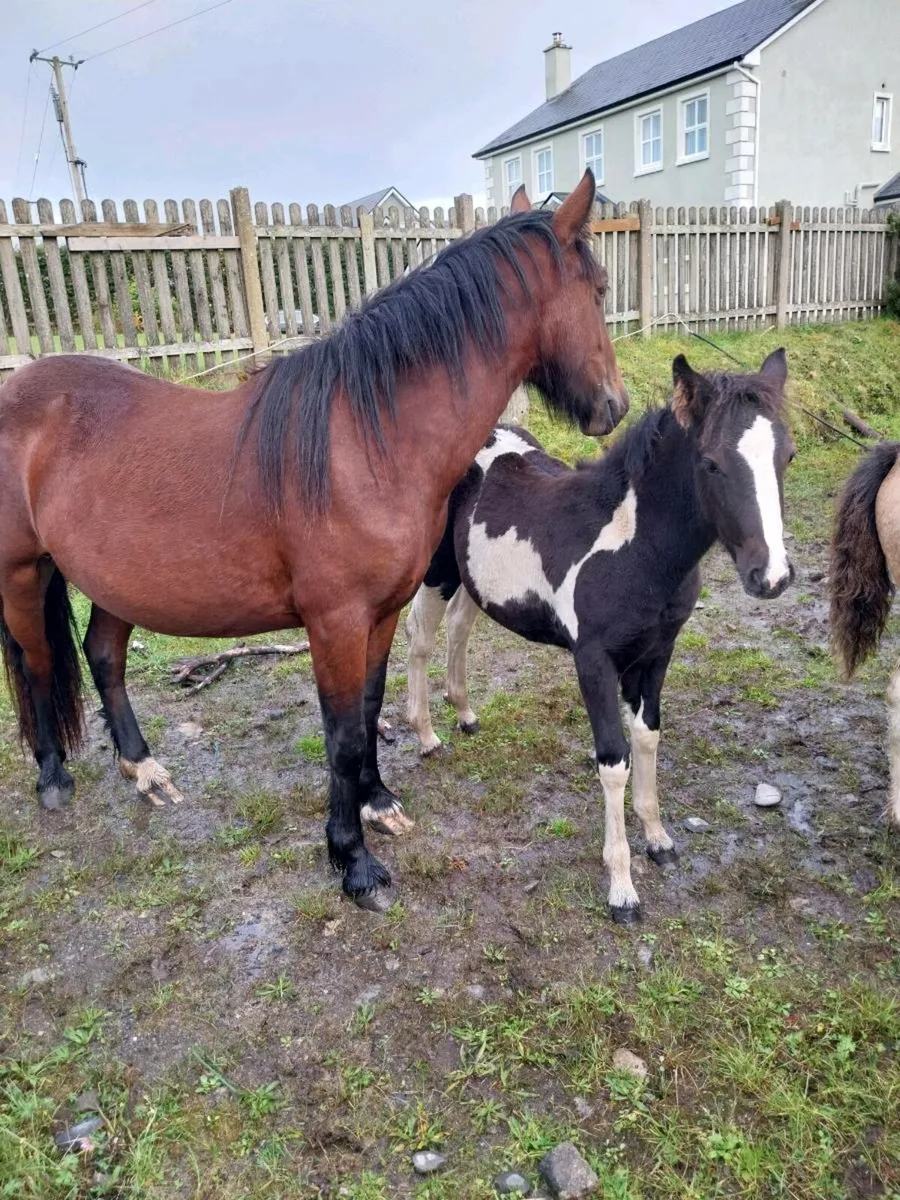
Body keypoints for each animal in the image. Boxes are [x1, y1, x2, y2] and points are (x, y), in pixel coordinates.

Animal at [0, 172, 629, 911]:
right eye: (599, 290)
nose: (614, 406)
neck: (367, 439)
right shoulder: (334, 624)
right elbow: (342, 736)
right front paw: (352, 862)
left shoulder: (380, 615)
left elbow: (370, 708)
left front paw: (378, 803)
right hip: (22, 573)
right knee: (38, 663)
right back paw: (53, 778)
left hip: (115, 581)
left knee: (102, 656)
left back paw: (144, 769)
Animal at [405, 350, 795, 922]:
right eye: (711, 463)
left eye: (787, 456)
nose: (771, 576)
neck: (637, 550)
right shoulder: (593, 661)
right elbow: (613, 761)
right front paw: (621, 889)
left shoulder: (657, 652)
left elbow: (648, 737)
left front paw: (659, 840)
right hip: (438, 568)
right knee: (421, 640)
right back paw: (427, 736)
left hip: (471, 574)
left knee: (459, 626)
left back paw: (466, 714)